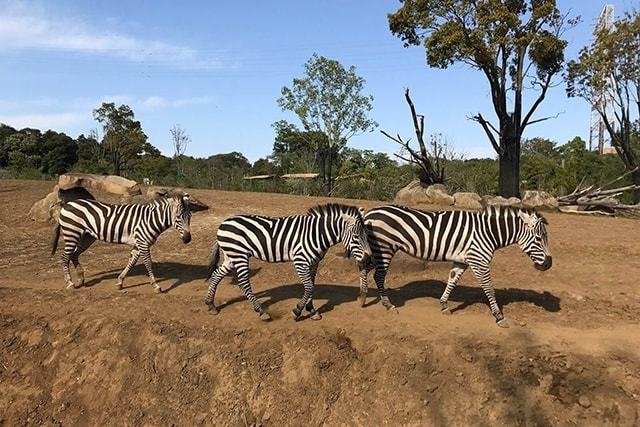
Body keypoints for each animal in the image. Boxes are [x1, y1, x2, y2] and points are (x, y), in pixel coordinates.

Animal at [51, 191, 191, 294]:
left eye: (190, 217)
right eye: (178, 217)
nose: (188, 239)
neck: (150, 219)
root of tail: (67, 204)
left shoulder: (138, 244)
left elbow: (131, 262)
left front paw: (120, 281)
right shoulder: (143, 243)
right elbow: (148, 263)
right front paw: (155, 285)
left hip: (87, 237)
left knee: (74, 254)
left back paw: (81, 279)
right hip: (72, 233)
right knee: (65, 256)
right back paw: (70, 283)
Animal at [205, 204, 372, 320]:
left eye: (367, 235)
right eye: (356, 237)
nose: (368, 259)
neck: (317, 234)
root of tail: (223, 223)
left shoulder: (314, 263)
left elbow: (312, 286)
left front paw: (311, 310)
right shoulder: (300, 261)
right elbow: (309, 287)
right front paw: (297, 311)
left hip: (230, 256)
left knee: (216, 274)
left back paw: (210, 304)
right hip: (239, 255)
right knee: (243, 282)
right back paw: (261, 311)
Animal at [358, 204, 552, 328]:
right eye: (538, 238)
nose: (549, 264)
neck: (488, 232)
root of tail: (370, 212)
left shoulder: (462, 261)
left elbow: (452, 280)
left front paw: (444, 305)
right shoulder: (479, 260)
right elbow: (489, 288)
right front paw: (499, 316)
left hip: (377, 250)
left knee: (364, 268)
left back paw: (362, 297)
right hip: (384, 248)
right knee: (378, 275)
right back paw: (387, 304)